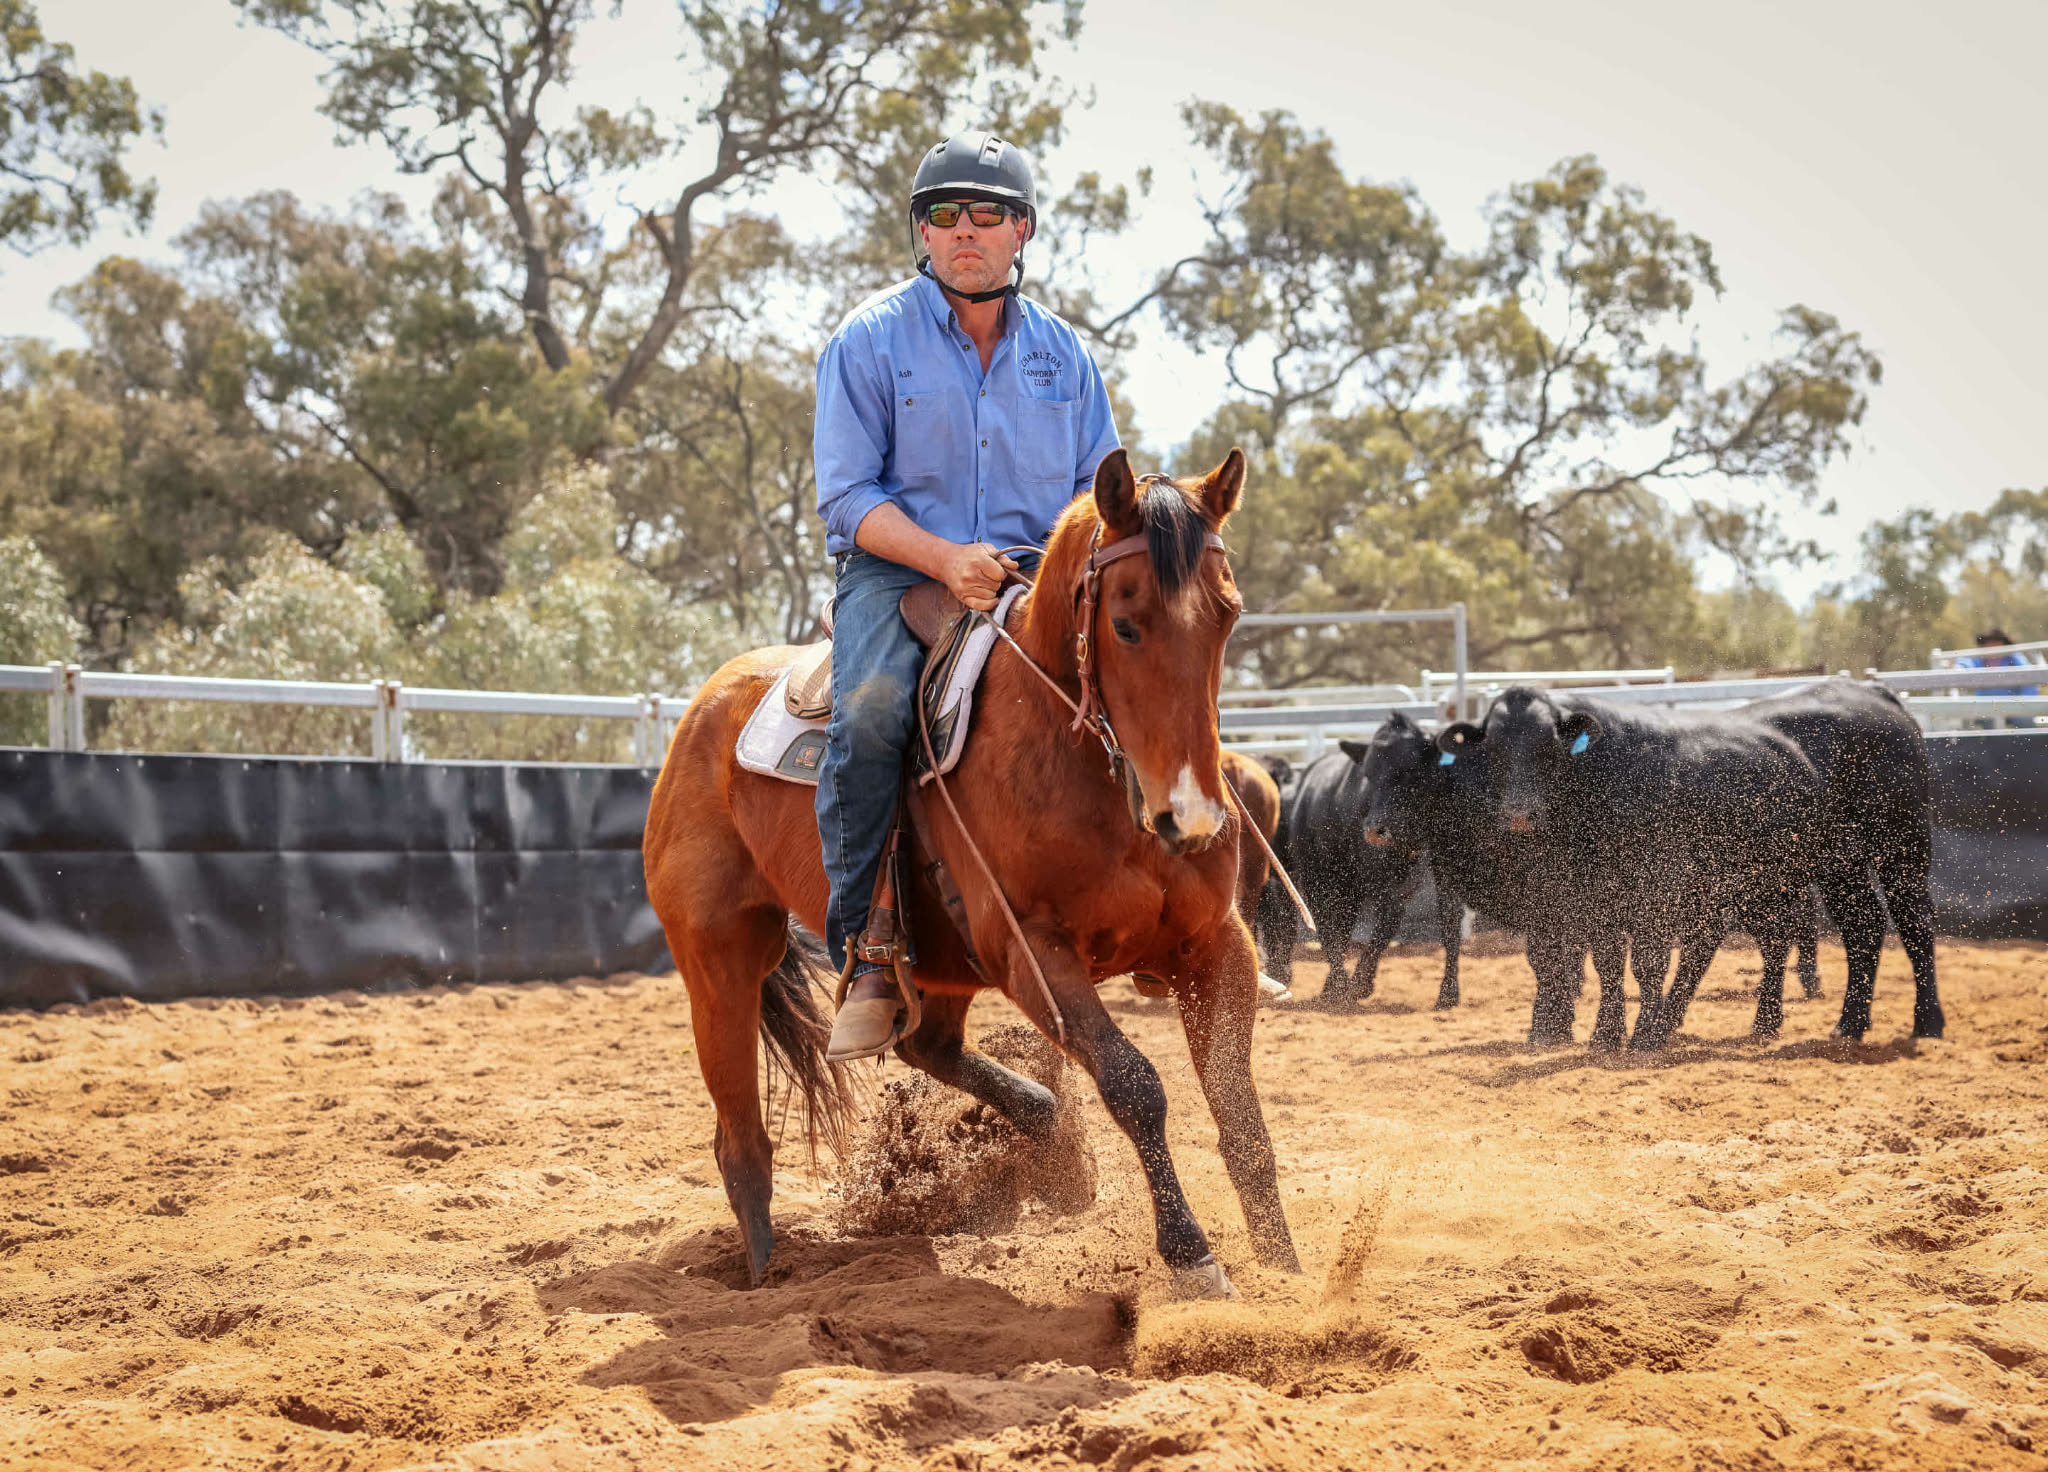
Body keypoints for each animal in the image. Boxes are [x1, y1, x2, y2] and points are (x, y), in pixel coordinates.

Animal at [642, 448, 1301, 1299]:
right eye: (1125, 623)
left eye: (1229, 615)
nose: (1187, 817)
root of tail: (706, 707)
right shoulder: (1033, 952)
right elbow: (1134, 1085)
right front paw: (1193, 1257)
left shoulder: (1217, 946)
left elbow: (1238, 1110)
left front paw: (1289, 1270)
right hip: (719, 960)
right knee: (742, 1144)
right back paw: (765, 1277)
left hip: (939, 959)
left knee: (928, 1046)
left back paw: (1051, 1144)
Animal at [1434, 688, 1824, 1051]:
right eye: (1493, 749)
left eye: (1549, 747)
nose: (1519, 814)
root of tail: (1790, 751)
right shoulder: (1590, 898)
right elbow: (1605, 962)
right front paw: (1606, 1034)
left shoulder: (1655, 893)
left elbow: (1648, 963)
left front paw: (1644, 1036)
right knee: (1720, 945)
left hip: (1772, 886)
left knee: (1775, 942)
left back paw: (1764, 1021)